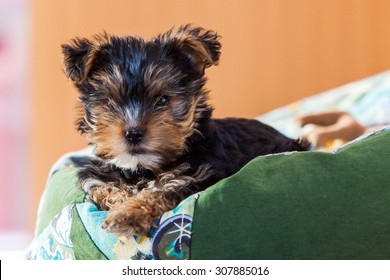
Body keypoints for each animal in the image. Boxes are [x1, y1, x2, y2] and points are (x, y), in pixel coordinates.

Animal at [61, 25, 308, 236]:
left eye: (163, 100)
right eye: (110, 103)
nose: (133, 133)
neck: (141, 168)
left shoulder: (194, 176)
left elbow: (159, 192)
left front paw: (127, 214)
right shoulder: (95, 177)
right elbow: (103, 188)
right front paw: (121, 202)